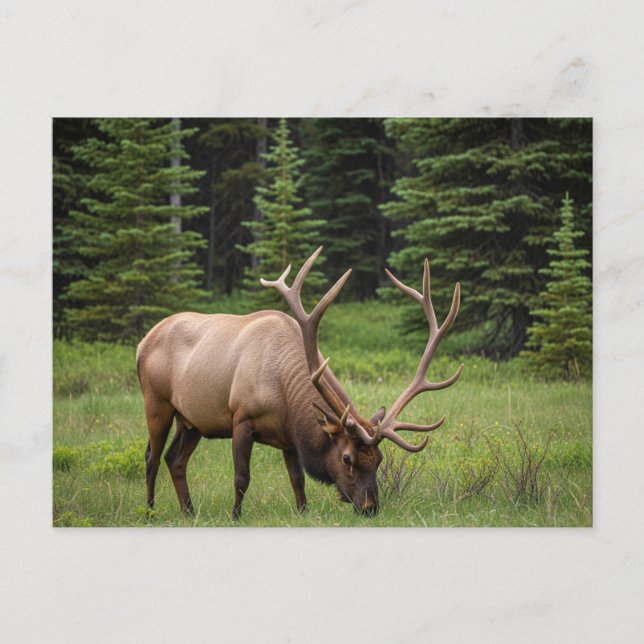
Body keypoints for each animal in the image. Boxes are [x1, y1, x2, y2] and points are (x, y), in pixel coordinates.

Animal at [136, 247, 463, 519]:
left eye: (379, 459)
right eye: (346, 458)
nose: (370, 507)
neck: (283, 394)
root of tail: (142, 342)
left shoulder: (289, 437)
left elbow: (298, 479)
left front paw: (303, 512)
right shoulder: (241, 419)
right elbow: (242, 477)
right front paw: (235, 516)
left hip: (191, 420)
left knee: (175, 459)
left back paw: (189, 512)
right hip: (157, 403)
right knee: (152, 457)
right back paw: (150, 511)